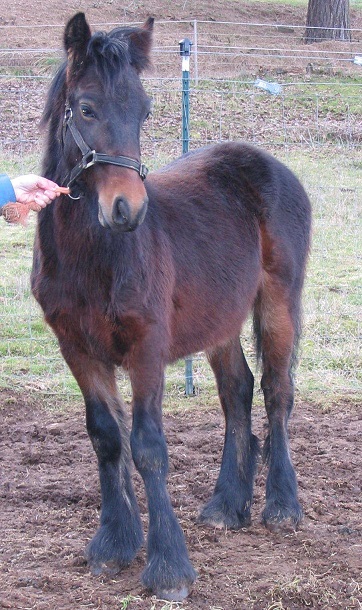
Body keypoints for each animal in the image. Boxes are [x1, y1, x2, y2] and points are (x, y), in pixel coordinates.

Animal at [31, 13, 312, 600]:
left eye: (143, 109)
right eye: (86, 108)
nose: (127, 209)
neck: (94, 256)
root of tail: (269, 163)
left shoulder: (147, 348)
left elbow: (147, 447)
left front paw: (168, 568)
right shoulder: (77, 348)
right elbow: (106, 438)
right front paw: (113, 545)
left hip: (278, 303)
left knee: (277, 390)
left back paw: (281, 506)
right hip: (220, 318)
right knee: (237, 391)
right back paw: (227, 505)